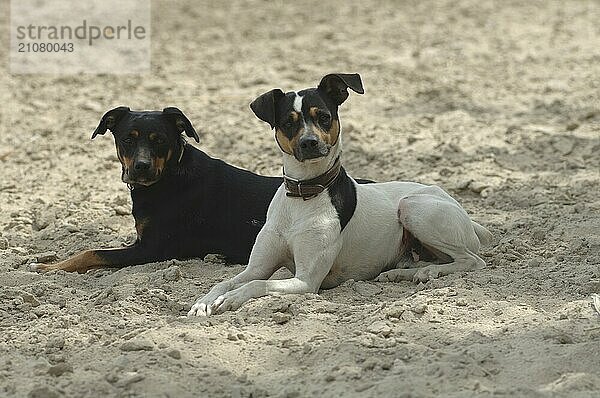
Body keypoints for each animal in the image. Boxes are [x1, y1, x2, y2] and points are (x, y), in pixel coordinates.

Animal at [36, 106, 282, 274]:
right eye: (128, 139)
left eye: (160, 140)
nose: (141, 166)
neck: (168, 178)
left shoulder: (151, 249)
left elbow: (91, 253)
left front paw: (51, 267)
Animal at [189, 73, 492, 316]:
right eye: (288, 123)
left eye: (323, 116)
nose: (309, 143)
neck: (303, 193)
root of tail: (450, 198)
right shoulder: (257, 266)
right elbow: (227, 281)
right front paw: (203, 302)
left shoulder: (306, 281)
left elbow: (257, 284)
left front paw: (231, 299)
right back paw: (400, 273)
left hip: (413, 207)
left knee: (472, 260)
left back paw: (428, 272)